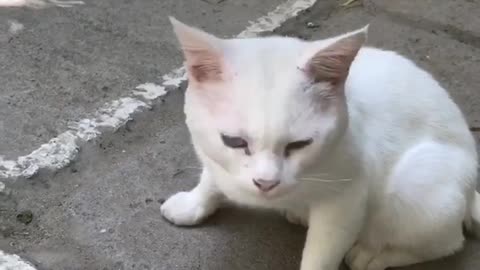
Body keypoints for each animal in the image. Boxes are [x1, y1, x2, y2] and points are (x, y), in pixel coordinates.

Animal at [162, 17, 480, 270]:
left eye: (299, 144)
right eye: (234, 141)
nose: (266, 183)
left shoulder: (345, 200)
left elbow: (321, 256)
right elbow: (211, 178)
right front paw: (194, 203)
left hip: (416, 183)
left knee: (448, 242)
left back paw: (374, 255)